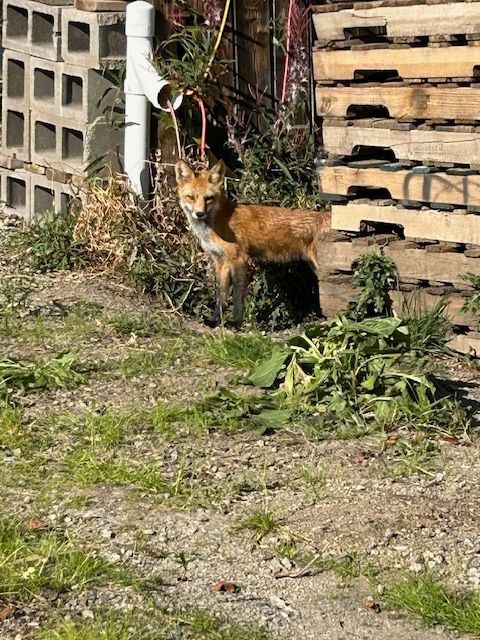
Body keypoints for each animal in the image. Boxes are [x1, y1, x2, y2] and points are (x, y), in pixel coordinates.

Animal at [175, 159, 332, 328]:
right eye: (191, 197)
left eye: (208, 198)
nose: (199, 213)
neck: (218, 222)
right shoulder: (221, 262)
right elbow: (220, 296)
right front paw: (215, 321)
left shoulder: (239, 259)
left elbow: (237, 296)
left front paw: (236, 323)